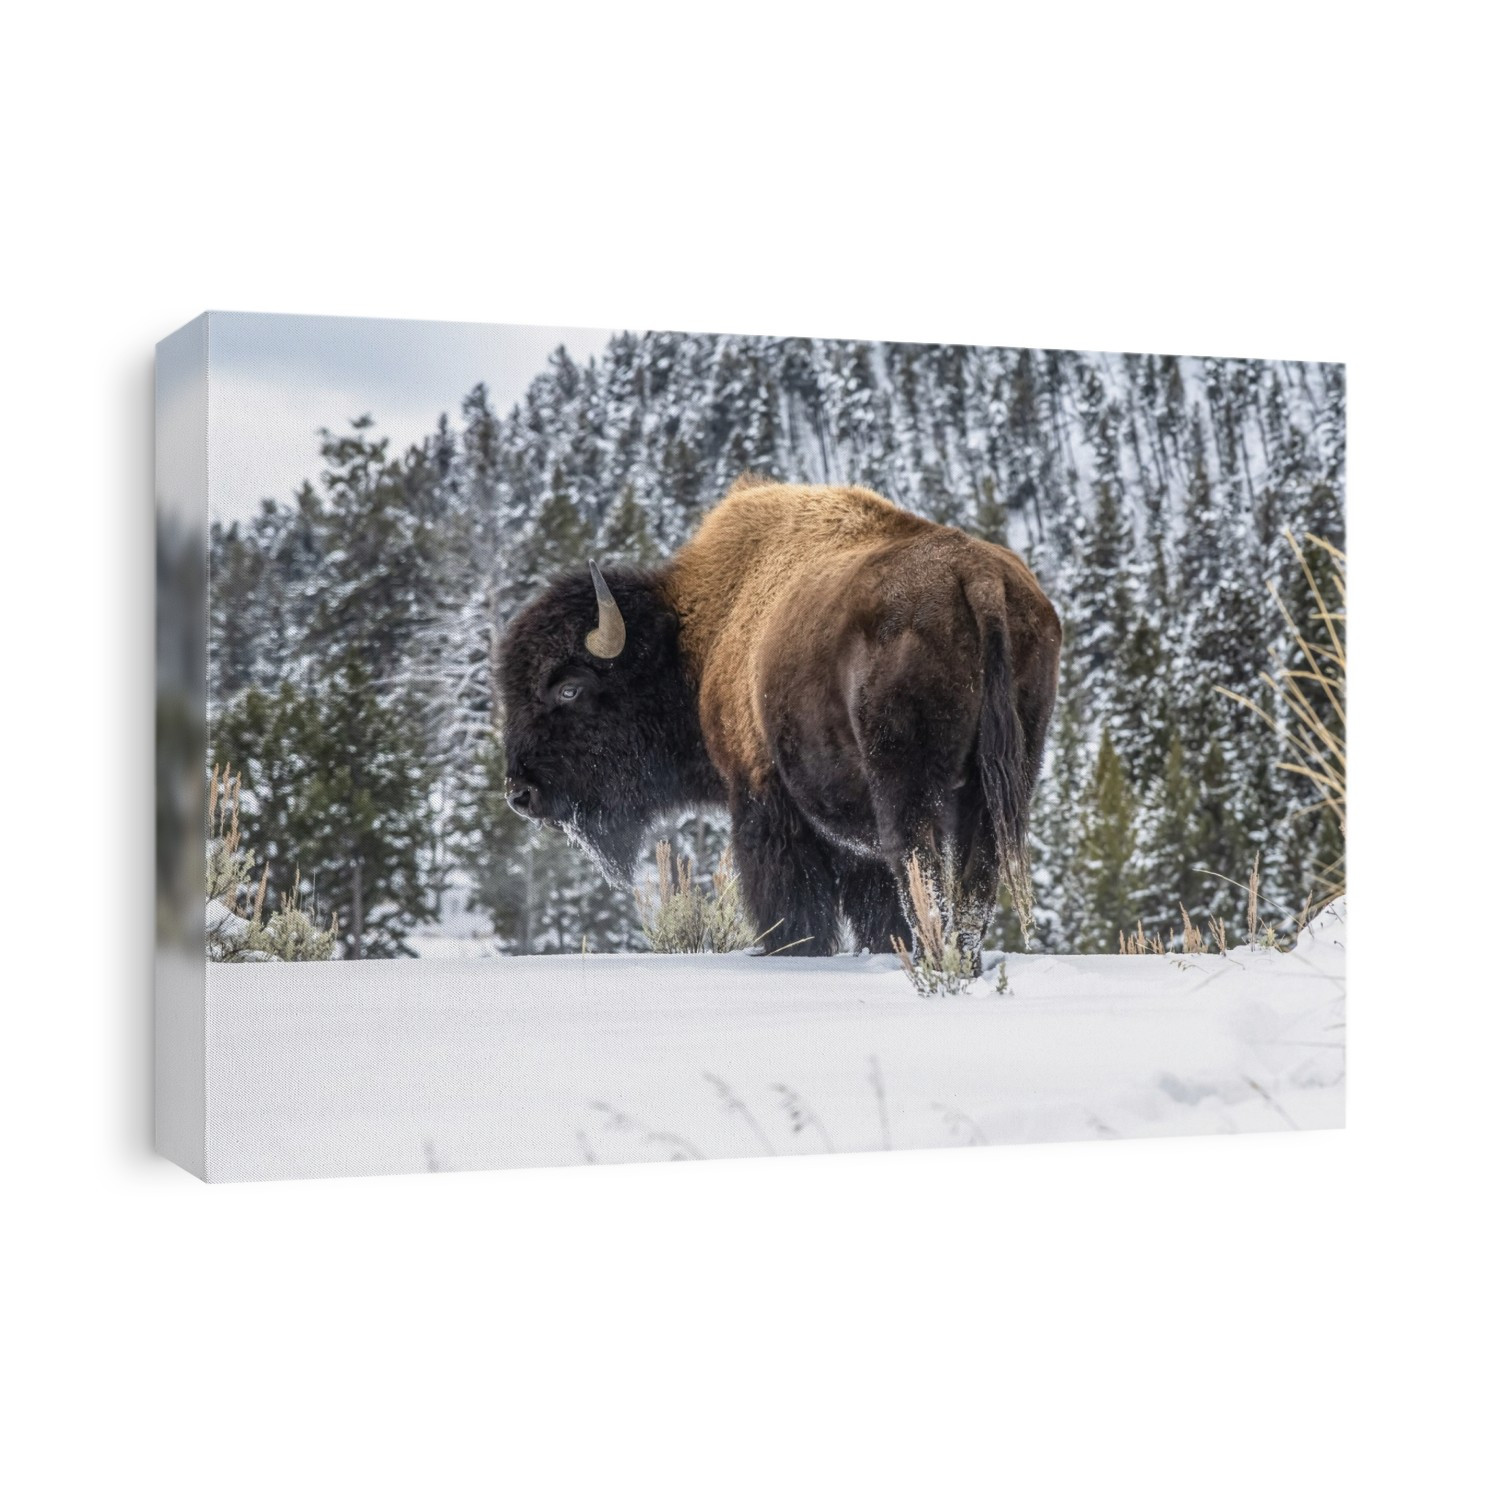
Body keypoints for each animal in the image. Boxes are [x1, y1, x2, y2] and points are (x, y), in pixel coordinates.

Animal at [499, 476, 1061, 963]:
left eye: (569, 688)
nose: (519, 793)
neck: (696, 635)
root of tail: (978, 579)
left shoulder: (762, 798)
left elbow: (790, 898)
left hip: (908, 785)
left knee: (920, 869)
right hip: (998, 782)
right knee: (973, 880)